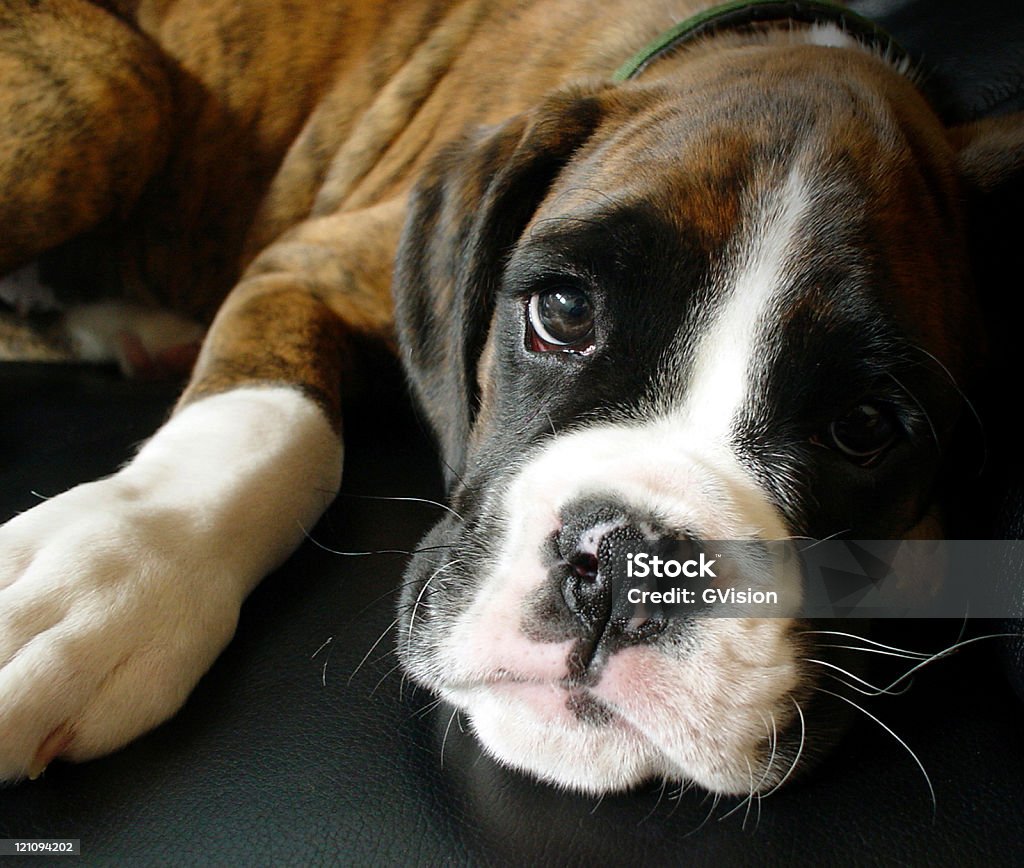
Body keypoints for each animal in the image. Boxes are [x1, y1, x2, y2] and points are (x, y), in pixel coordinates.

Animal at [0, 0, 1019, 794]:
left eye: (863, 427)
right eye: (561, 312)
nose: (630, 565)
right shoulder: (314, 260)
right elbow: (264, 423)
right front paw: (111, 574)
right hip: (109, 87)